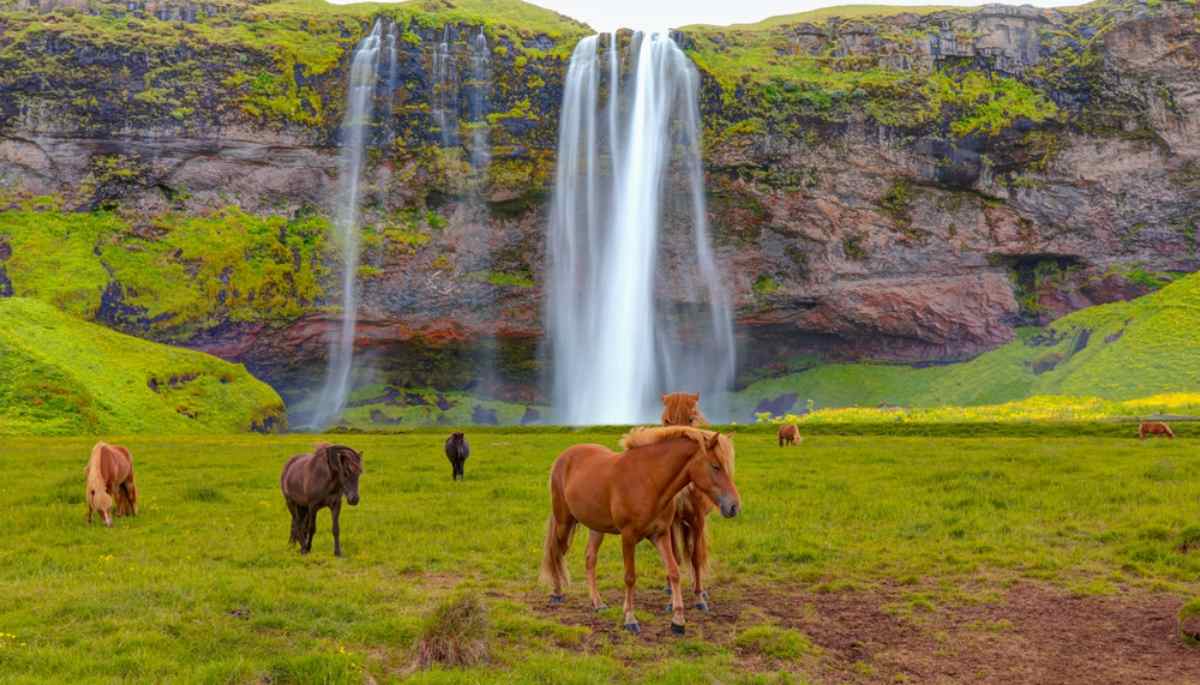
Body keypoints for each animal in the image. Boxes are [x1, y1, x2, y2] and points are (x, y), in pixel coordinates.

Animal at [540, 426, 740, 636]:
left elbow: (674, 572)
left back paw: (598, 603)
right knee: (556, 551)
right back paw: (557, 593)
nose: (734, 506)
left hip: (596, 528)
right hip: (564, 522)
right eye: (715, 466)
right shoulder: (628, 537)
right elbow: (630, 577)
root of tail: (563, 457)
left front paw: (678, 620)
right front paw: (630, 619)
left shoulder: (660, 535)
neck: (649, 480)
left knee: (589, 559)